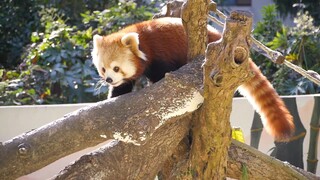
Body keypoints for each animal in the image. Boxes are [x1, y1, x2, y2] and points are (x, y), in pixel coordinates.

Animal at [91, 16, 294, 141]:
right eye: (103, 69)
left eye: (116, 68)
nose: (109, 80)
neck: (143, 41)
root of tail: (218, 34)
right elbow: (123, 87)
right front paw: (113, 97)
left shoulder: (159, 54)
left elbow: (164, 74)